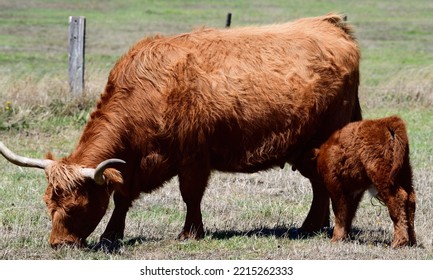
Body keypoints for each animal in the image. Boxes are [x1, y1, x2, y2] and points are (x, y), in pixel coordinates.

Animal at [0, 14, 358, 248]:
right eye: (48, 203)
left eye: (76, 207)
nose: (59, 244)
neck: (149, 91)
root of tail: (328, 24)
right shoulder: (132, 164)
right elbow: (122, 198)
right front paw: (111, 234)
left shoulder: (193, 157)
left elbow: (191, 196)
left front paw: (190, 233)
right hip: (304, 148)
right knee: (318, 184)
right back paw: (313, 226)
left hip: (324, 140)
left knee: (322, 182)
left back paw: (313, 226)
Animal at [292, 115, 414, 247]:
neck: (322, 155)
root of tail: (387, 121)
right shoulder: (354, 191)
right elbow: (349, 211)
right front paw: (344, 236)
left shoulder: (335, 185)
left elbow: (340, 211)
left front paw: (336, 238)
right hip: (405, 175)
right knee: (411, 200)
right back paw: (412, 240)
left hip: (384, 178)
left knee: (398, 199)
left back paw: (398, 242)